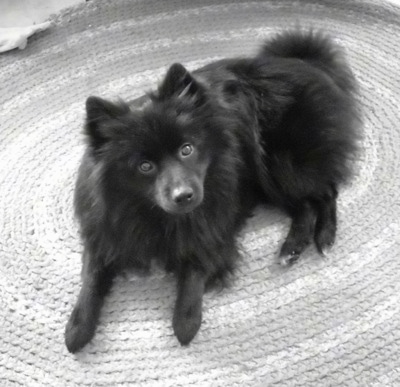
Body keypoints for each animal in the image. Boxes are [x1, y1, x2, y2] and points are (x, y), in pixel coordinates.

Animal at [65, 29, 360, 352]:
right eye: (145, 166)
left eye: (186, 149)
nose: (184, 195)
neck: (152, 213)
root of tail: (302, 62)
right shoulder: (105, 232)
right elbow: (91, 278)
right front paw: (77, 328)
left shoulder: (212, 227)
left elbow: (196, 269)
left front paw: (186, 322)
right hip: (269, 181)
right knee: (305, 205)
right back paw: (292, 247)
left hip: (283, 166)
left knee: (326, 192)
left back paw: (325, 236)